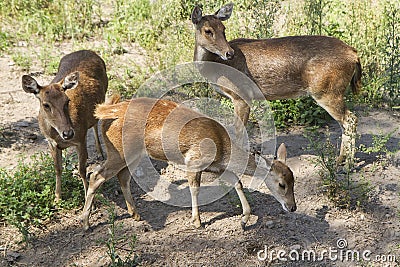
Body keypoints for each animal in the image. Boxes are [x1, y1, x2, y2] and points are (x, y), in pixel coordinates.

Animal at [21, 49, 108, 202]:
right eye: (46, 104)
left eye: (67, 101)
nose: (68, 133)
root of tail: (89, 51)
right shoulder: (50, 142)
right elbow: (57, 168)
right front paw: (57, 198)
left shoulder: (81, 138)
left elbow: (82, 170)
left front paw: (88, 198)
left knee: (96, 122)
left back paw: (100, 153)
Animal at [79, 97, 296, 232]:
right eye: (281, 184)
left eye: (294, 180)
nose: (292, 207)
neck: (222, 148)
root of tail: (105, 112)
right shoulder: (194, 160)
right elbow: (195, 188)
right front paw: (197, 221)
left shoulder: (218, 167)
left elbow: (238, 183)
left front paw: (243, 220)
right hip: (119, 151)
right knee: (96, 175)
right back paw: (86, 222)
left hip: (130, 154)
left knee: (122, 177)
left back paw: (136, 215)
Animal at [191, 2, 362, 165]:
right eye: (208, 30)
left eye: (223, 29)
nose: (229, 53)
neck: (215, 67)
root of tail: (354, 54)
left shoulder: (241, 95)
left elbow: (239, 132)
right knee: (344, 122)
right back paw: (340, 160)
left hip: (327, 91)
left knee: (351, 119)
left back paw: (349, 164)